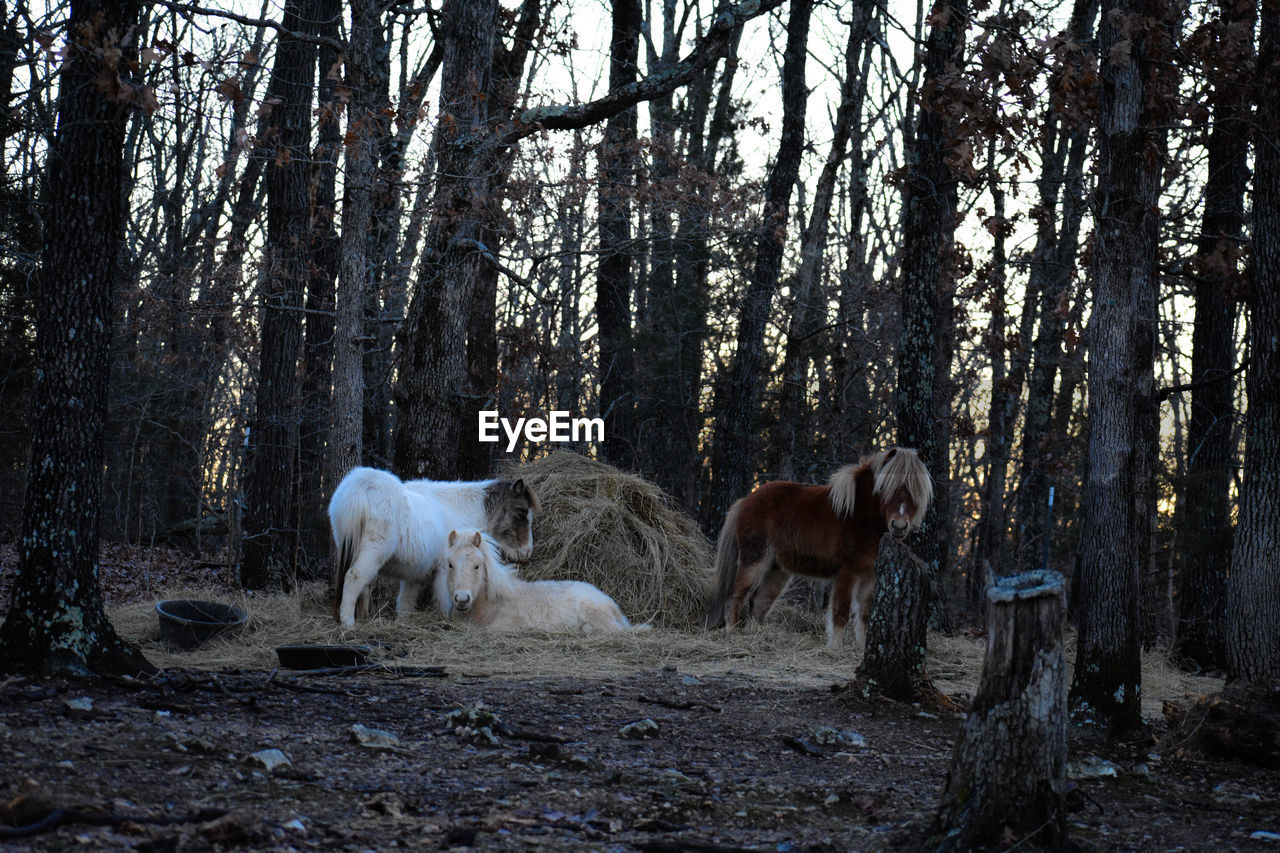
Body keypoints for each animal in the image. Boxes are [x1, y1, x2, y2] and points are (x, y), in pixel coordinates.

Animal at [330, 466, 540, 625]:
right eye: (521, 513)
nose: (526, 553)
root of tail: (363, 483)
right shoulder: (443, 568)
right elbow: (444, 600)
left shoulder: (414, 576)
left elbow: (405, 603)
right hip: (373, 551)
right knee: (354, 577)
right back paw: (348, 623)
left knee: (365, 584)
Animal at [711, 448, 931, 648]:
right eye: (887, 488)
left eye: (916, 490)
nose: (899, 526)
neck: (861, 516)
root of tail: (745, 501)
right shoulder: (847, 573)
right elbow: (841, 613)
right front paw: (834, 649)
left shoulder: (869, 576)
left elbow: (864, 615)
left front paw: (861, 650)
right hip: (754, 562)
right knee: (736, 595)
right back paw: (732, 634)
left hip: (777, 570)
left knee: (759, 602)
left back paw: (754, 637)